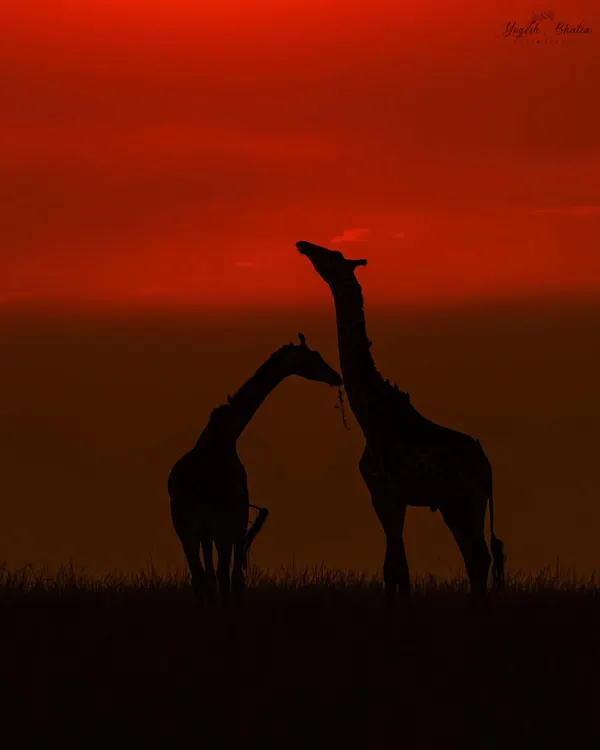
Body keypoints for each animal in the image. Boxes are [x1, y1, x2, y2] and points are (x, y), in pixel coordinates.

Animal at [168, 333, 342, 608]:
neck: (226, 435)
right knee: (220, 576)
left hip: (188, 528)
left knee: (201, 577)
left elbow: (215, 578)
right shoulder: (233, 523)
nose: (337, 376)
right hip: (212, 525)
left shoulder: (211, 529)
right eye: (312, 357)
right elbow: (233, 578)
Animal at [296, 240, 505, 606]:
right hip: (461, 504)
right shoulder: (390, 497)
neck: (371, 415)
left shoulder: (386, 493)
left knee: (478, 557)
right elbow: (394, 567)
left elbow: (396, 567)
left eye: (332, 257)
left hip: (462, 501)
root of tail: (487, 466)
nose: (303, 245)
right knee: (477, 557)